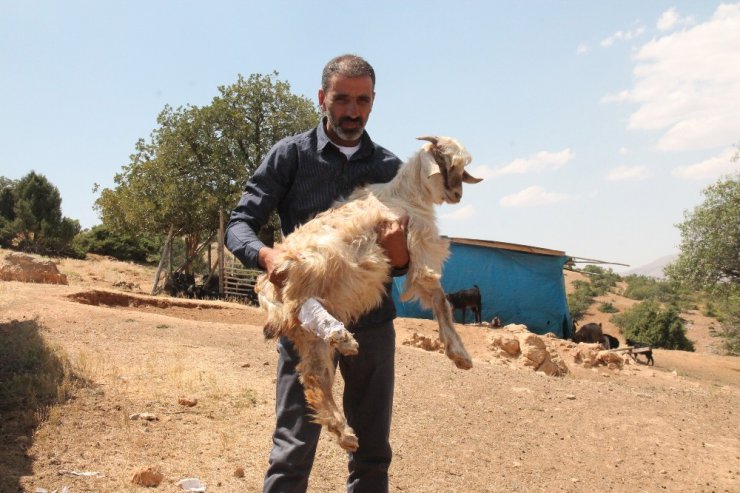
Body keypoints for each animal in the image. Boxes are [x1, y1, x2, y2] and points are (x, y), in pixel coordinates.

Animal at [258, 135, 482, 450]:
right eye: (445, 161)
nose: (457, 195)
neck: (407, 195)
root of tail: (267, 287)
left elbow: (440, 300)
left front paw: (459, 354)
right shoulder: (421, 250)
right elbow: (441, 300)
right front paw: (459, 354)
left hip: (308, 333)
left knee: (314, 376)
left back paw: (344, 432)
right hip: (319, 261)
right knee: (299, 305)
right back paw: (341, 336)